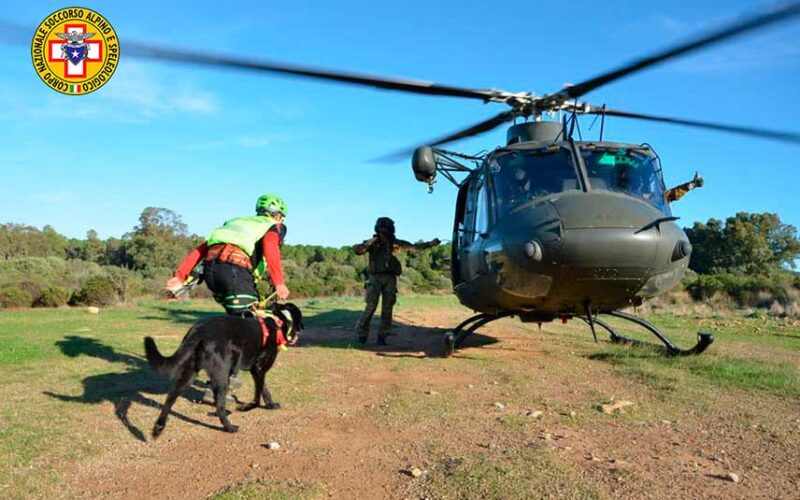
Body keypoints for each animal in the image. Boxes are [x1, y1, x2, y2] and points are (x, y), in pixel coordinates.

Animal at [144, 300, 304, 438]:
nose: (299, 331)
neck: (279, 322)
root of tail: (198, 331)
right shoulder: (258, 369)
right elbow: (257, 397)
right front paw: (247, 407)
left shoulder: (257, 370)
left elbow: (264, 390)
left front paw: (271, 405)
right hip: (222, 374)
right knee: (219, 405)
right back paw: (229, 427)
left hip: (190, 374)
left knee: (170, 398)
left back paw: (158, 427)